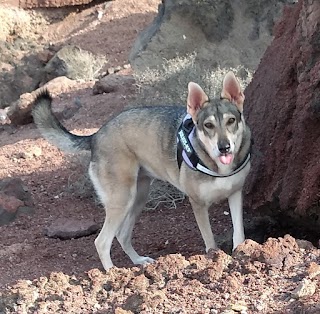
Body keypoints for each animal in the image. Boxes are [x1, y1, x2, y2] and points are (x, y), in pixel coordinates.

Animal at [33, 72, 252, 270]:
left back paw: (139, 261)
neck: (218, 167)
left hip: (139, 196)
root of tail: (95, 136)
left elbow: (238, 232)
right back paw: (112, 272)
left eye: (231, 121)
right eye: (208, 125)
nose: (224, 147)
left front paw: (241, 253)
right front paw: (215, 259)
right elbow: (210, 241)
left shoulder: (235, 193)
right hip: (122, 199)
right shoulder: (198, 204)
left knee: (121, 235)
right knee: (102, 241)